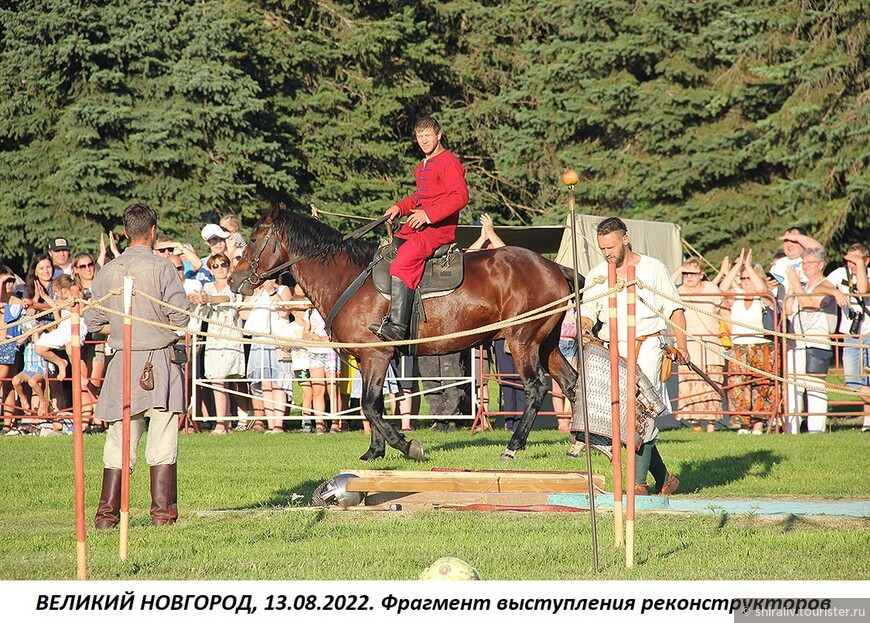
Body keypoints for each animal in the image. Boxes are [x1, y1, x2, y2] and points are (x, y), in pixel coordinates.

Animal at [232, 206, 584, 464]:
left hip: (522, 341)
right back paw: (579, 443)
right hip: (546, 344)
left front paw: (406, 446)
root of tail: (554, 267)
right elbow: (372, 403)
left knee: (536, 389)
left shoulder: (376, 354)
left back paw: (514, 445)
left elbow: (370, 405)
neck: (347, 277)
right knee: (571, 383)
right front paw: (374, 452)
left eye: (254, 238)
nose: (235, 280)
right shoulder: (369, 359)